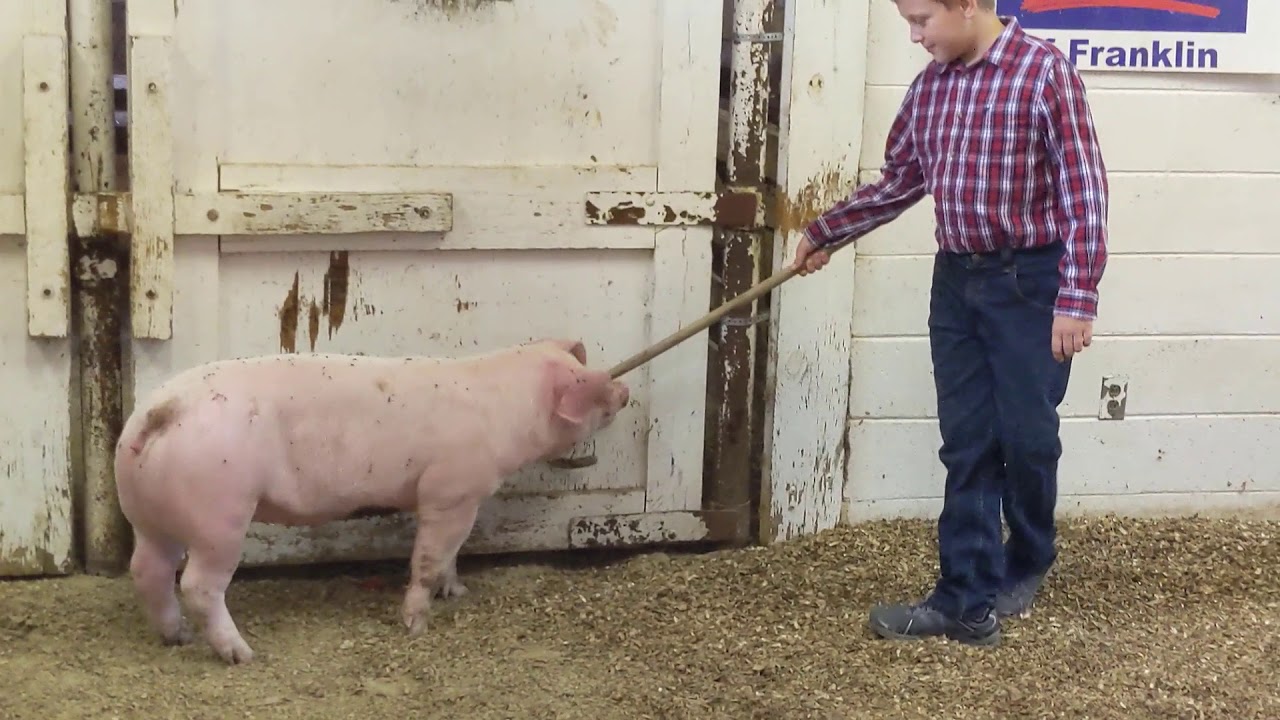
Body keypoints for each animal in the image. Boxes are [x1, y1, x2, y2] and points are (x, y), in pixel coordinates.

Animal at [113, 338, 629, 665]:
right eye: (593, 384)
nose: (623, 388)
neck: (505, 411)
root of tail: (161, 412)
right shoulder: (450, 489)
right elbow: (429, 559)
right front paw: (417, 625)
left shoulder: (453, 497)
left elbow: (451, 554)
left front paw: (457, 592)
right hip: (220, 512)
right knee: (198, 584)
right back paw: (242, 655)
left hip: (146, 512)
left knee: (147, 569)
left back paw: (175, 636)